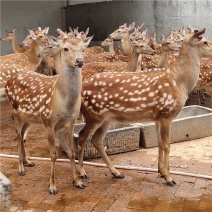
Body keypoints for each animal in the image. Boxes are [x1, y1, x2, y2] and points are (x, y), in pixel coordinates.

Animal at [4, 29, 92, 195]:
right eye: (65, 48)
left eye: (83, 48)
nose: (80, 61)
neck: (62, 101)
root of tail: (10, 80)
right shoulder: (48, 122)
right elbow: (53, 155)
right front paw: (52, 186)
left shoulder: (70, 123)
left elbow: (71, 152)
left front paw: (77, 181)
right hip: (16, 112)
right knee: (18, 136)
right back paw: (21, 168)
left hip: (29, 118)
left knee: (22, 135)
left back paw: (28, 161)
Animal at [76, 28, 212, 187]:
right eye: (204, 42)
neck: (180, 82)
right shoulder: (167, 114)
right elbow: (167, 145)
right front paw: (169, 178)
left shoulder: (158, 117)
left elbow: (160, 144)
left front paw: (161, 172)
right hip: (93, 115)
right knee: (82, 136)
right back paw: (82, 174)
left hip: (106, 118)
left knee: (96, 140)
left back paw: (116, 173)